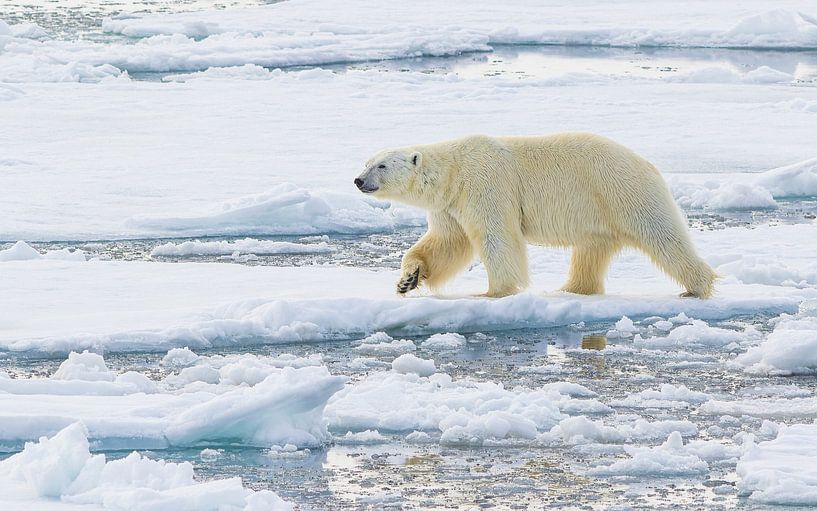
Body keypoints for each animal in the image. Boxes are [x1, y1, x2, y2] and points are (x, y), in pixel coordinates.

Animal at [354, 132, 716, 299]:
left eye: (381, 165)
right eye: (366, 162)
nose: (358, 180)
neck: (454, 171)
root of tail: (647, 164)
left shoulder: (486, 184)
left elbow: (497, 237)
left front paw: (494, 292)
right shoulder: (450, 205)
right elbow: (447, 242)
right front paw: (408, 279)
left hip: (622, 191)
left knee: (663, 236)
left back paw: (697, 287)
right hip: (599, 213)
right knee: (591, 251)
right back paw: (571, 289)